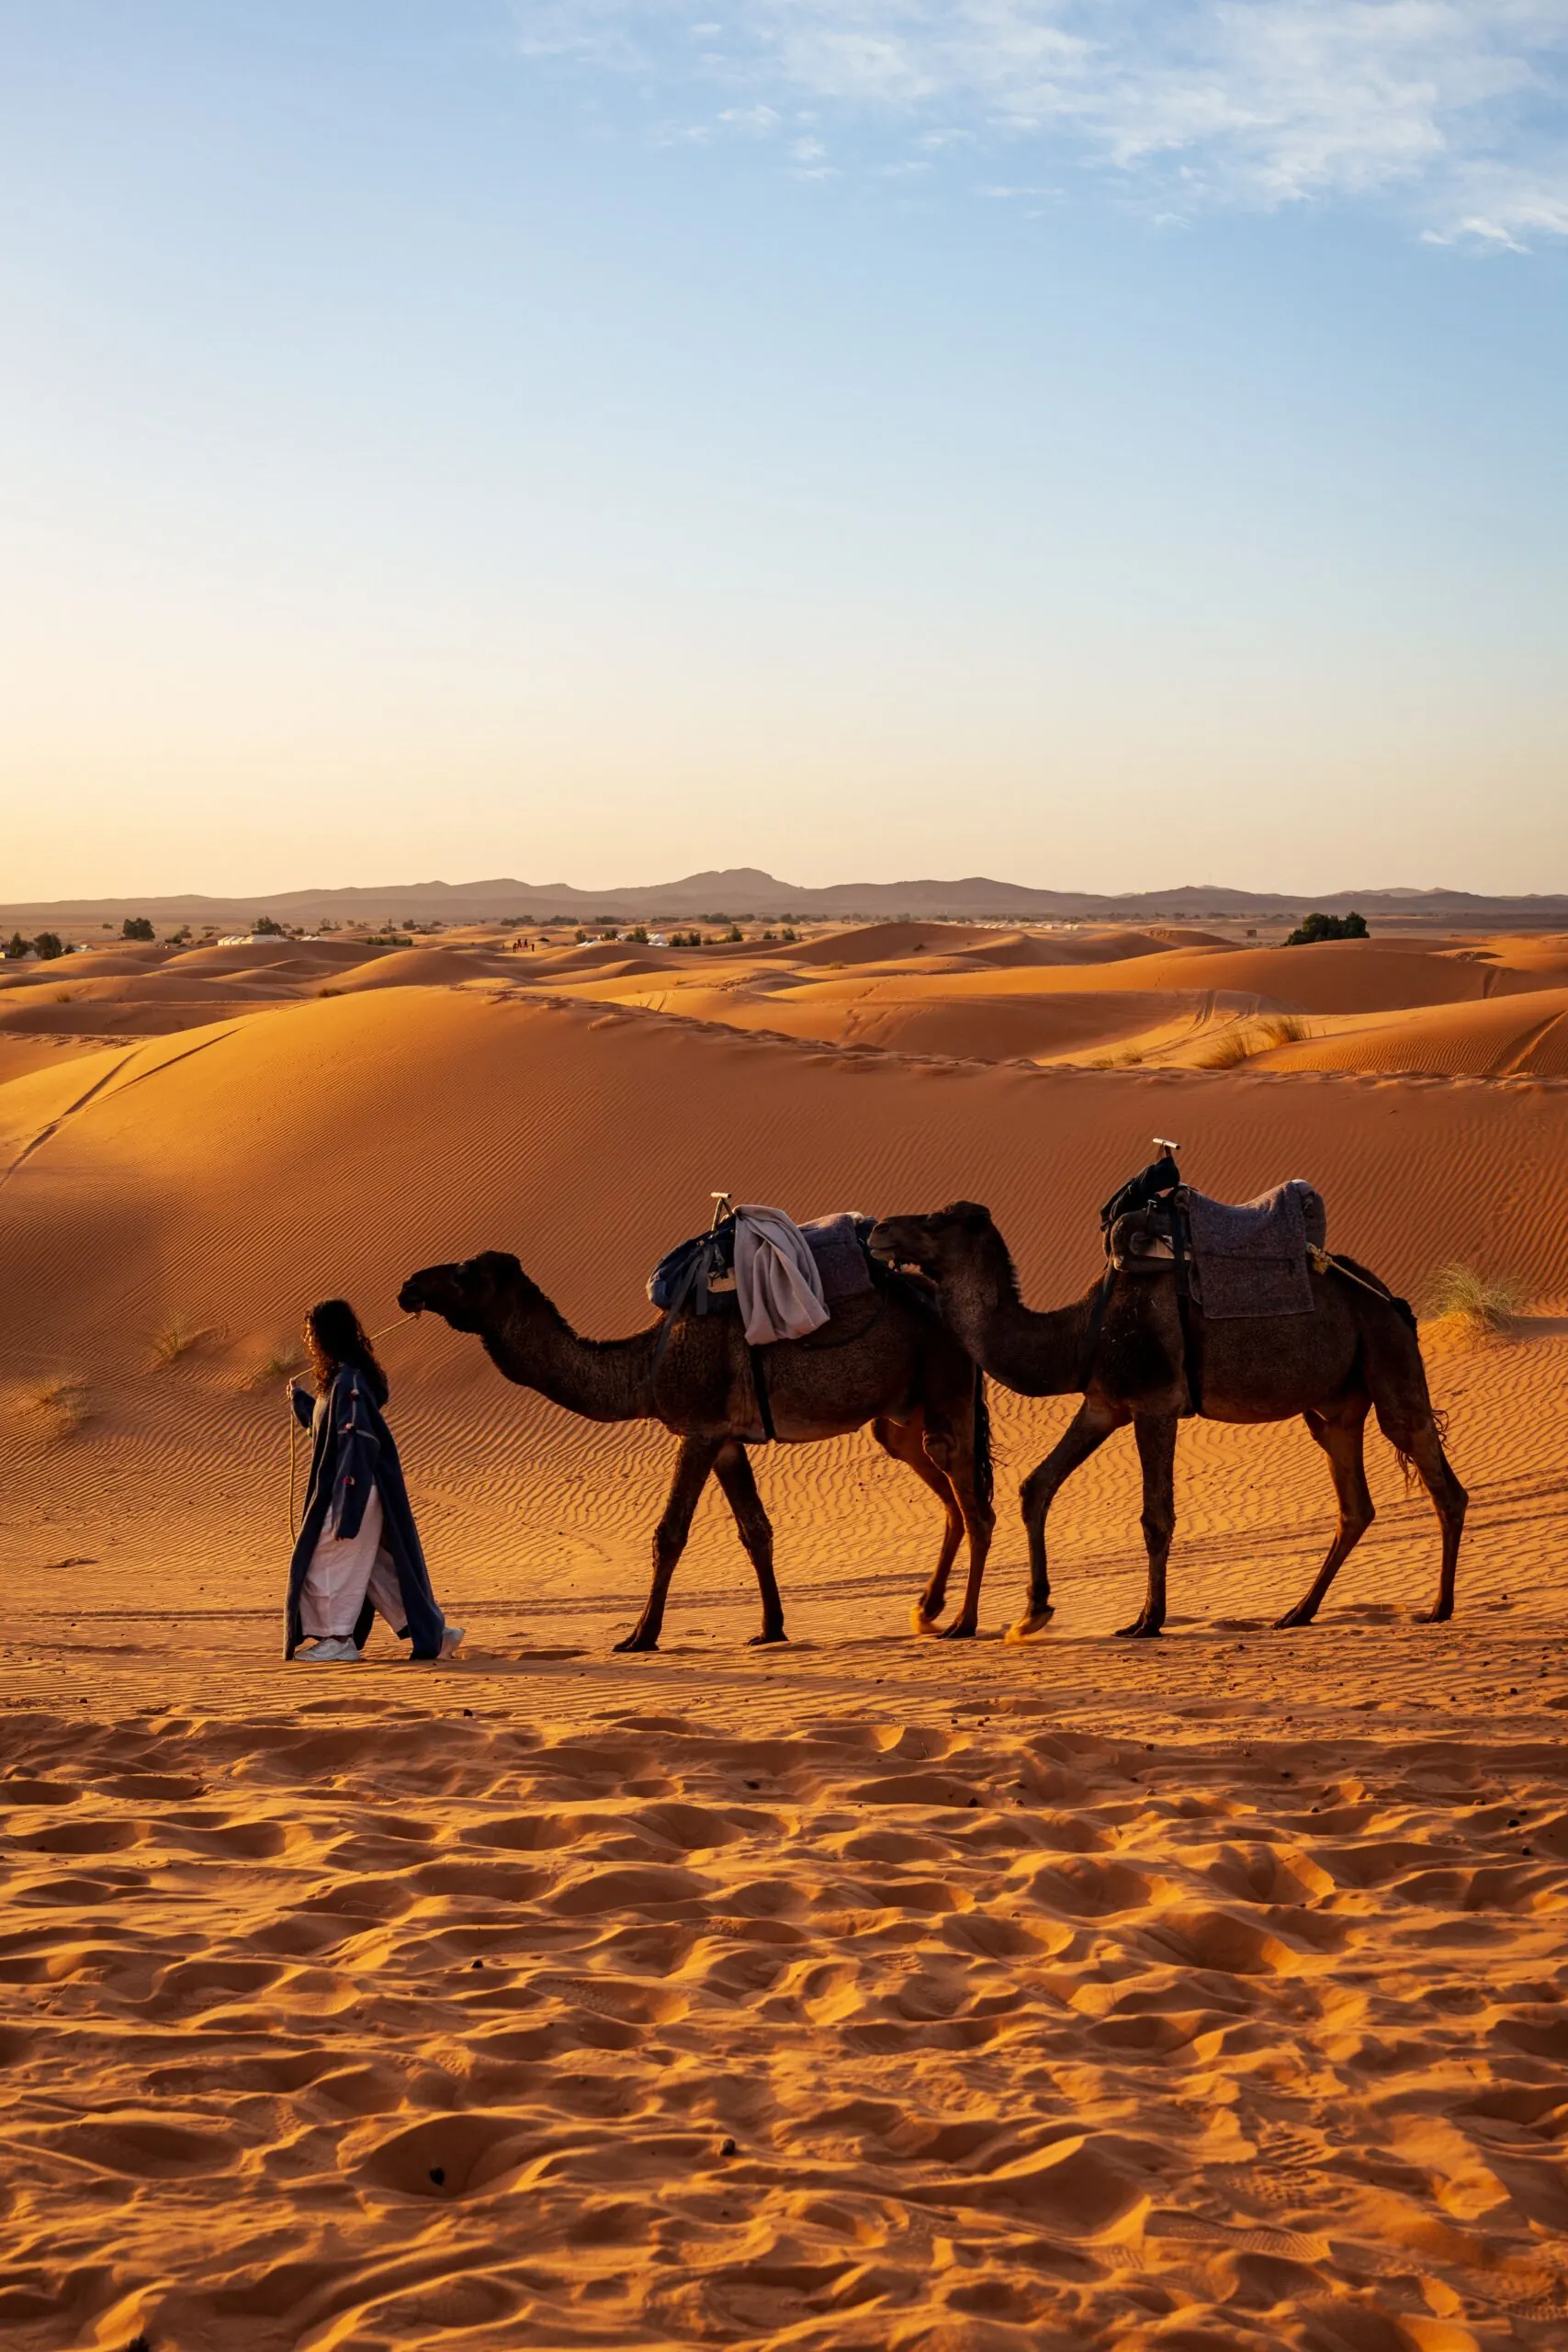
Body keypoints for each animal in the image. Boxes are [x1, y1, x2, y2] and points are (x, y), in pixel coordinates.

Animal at [398, 1250, 994, 1650]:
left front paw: (640, 1636)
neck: (644, 1367)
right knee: (949, 1498)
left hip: (945, 1387)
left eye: (465, 1273)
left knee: (975, 1506)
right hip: (901, 1416)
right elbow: (755, 1530)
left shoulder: (699, 1429)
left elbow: (669, 1534)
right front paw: (770, 1629)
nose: (408, 1285)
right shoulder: (727, 1439)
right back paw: (928, 1608)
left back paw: (963, 1623)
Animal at [868, 1203, 1466, 1640]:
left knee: (1439, 1480)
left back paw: (1438, 1607)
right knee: (1355, 1507)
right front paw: (1032, 1613)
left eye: (934, 1220)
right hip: (1333, 1408)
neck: (1081, 1332)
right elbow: (1036, 1486)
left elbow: (1156, 1517)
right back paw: (1298, 1613)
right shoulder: (1104, 1404)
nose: (878, 1229)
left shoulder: (1155, 1403)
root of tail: (1391, 1297)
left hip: (1388, 1360)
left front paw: (1146, 1621)